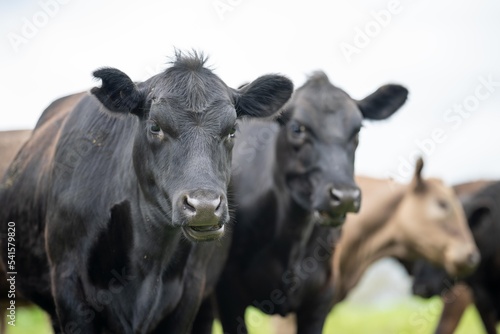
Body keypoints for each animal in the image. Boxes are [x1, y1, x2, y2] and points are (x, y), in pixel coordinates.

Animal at [0, 52, 292, 334]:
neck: (148, 258)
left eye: (232, 130)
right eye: (155, 127)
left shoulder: (190, 293)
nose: (205, 206)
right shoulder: (68, 287)